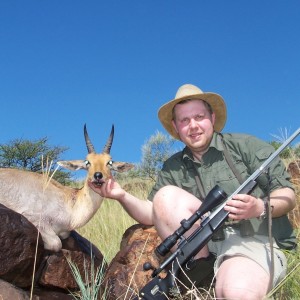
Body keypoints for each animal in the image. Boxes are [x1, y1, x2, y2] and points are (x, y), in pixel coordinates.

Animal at [0, 123, 134, 252]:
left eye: (109, 162)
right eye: (87, 162)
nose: (97, 176)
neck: (70, 205)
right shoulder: (34, 217)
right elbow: (56, 243)